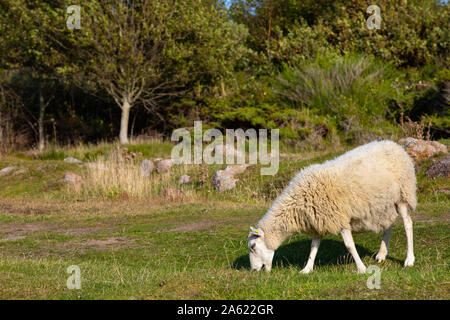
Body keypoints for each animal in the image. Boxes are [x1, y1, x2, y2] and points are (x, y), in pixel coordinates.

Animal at [248, 141, 416, 274]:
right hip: (386, 203)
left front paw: (361, 268)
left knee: (408, 224)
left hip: (403, 194)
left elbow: (349, 246)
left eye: (253, 246)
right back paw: (382, 254)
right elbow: (313, 247)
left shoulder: (339, 218)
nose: (254, 270)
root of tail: (394, 144)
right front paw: (307, 269)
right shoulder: (318, 220)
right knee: (389, 224)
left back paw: (409, 260)